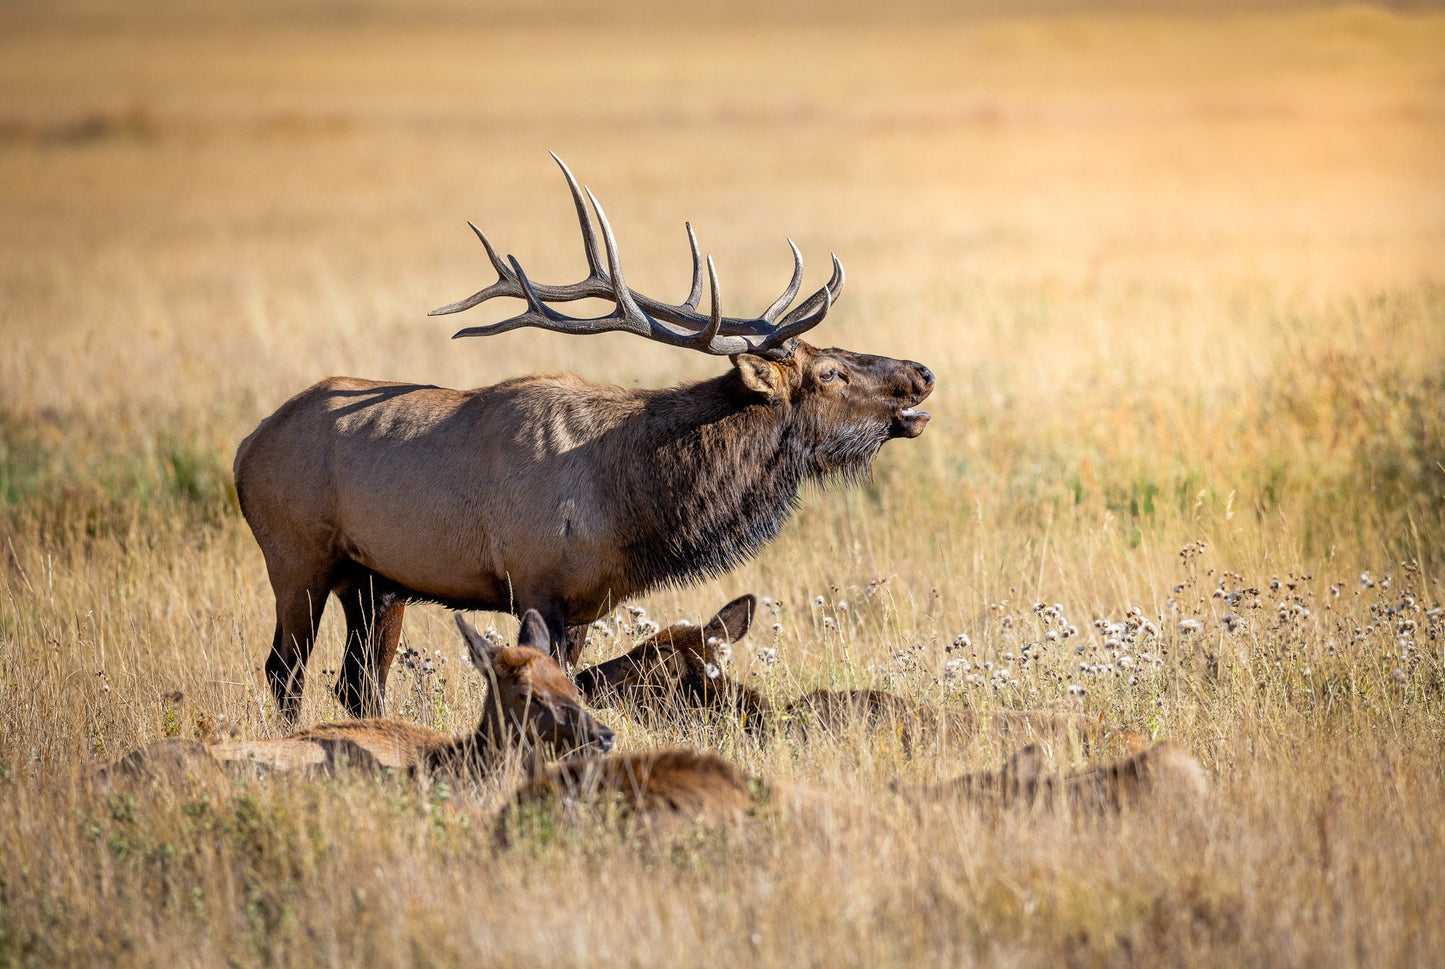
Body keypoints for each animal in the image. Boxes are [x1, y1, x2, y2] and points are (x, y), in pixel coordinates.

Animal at [234, 155, 936, 724]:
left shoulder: (587, 606)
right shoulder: (536, 583)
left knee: (357, 683)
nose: (922, 373)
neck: (628, 500)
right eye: (831, 372)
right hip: (296, 556)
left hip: (373, 580)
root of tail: (245, 449)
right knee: (284, 670)